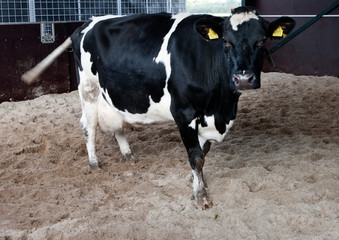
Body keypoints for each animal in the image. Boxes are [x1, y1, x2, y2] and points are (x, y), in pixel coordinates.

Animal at [71, 6, 294, 209]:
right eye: (226, 41)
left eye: (262, 40)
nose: (243, 79)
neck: (221, 107)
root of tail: (88, 22)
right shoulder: (184, 114)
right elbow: (196, 157)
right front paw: (201, 196)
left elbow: (203, 152)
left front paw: (197, 181)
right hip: (88, 89)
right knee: (88, 126)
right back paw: (94, 164)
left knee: (117, 125)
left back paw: (127, 155)